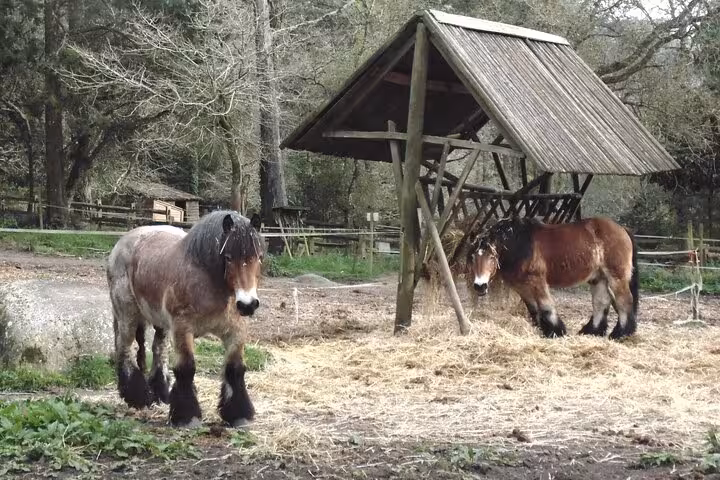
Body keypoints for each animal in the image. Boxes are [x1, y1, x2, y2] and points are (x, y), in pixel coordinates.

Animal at [106, 210, 264, 427]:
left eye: (259, 257)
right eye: (229, 257)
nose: (248, 304)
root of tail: (122, 244)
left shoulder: (236, 331)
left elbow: (235, 368)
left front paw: (239, 414)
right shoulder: (183, 329)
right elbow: (186, 368)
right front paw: (187, 417)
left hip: (160, 323)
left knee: (159, 350)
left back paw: (161, 393)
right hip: (127, 315)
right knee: (125, 349)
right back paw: (137, 397)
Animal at [468, 216, 638, 340]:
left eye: (492, 257)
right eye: (473, 257)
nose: (480, 286)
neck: (519, 244)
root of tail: (622, 228)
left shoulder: (537, 281)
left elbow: (546, 307)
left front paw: (556, 331)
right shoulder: (521, 286)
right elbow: (533, 309)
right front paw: (542, 330)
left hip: (616, 277)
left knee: (624, 301)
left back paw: (620, 334)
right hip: (599, 278)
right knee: (601, 303)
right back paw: (592, 331)